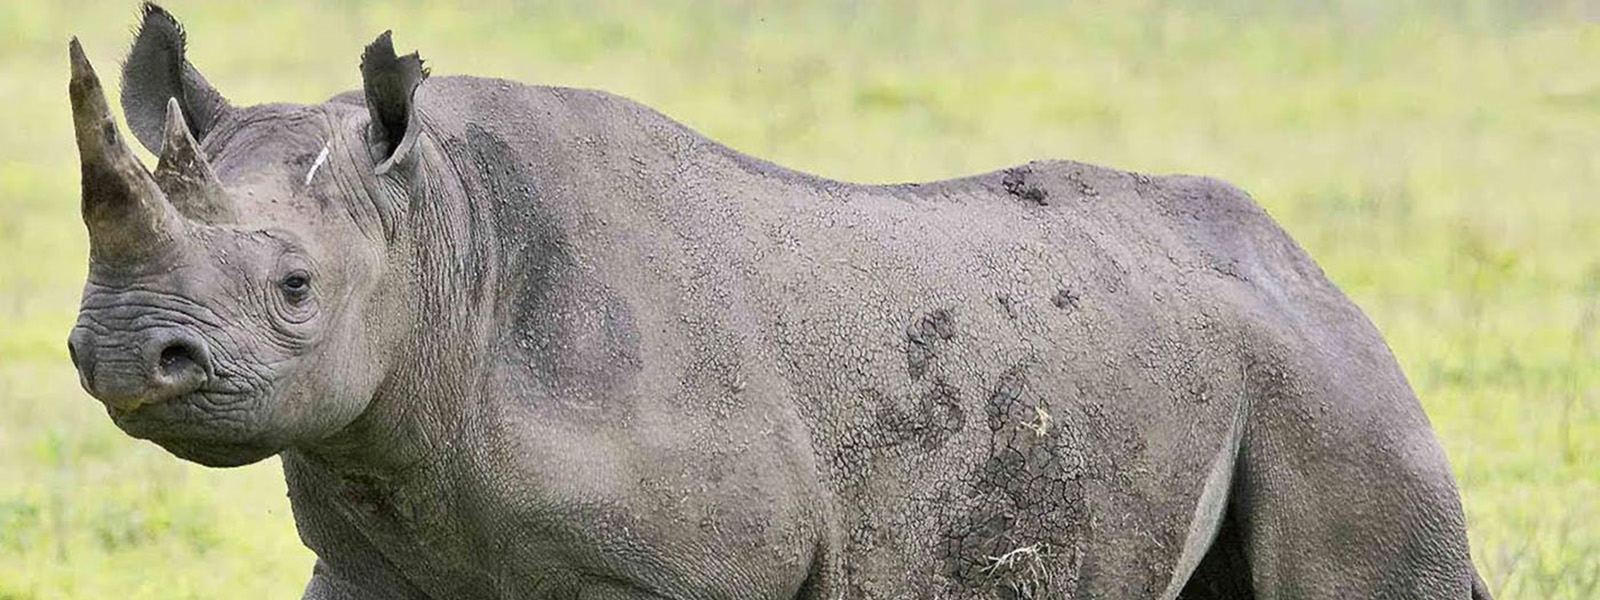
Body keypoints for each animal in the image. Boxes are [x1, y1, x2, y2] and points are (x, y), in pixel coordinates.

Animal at [62, 4, 1484, 600]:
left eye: (295, 289)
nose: (125, 356)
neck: (441, 248)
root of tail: (1312, 270)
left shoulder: (679, 568)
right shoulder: (376, 566)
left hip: (1327, 380)